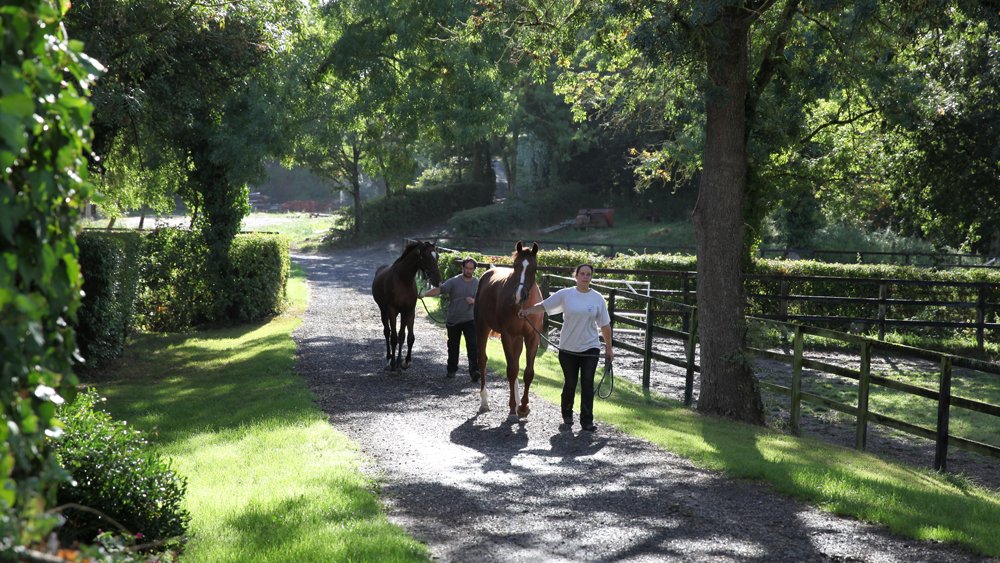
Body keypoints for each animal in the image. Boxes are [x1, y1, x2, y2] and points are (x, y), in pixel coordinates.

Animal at [372, 240, 442, 372]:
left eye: (437, 256)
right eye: (425, 256)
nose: (437, 281)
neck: (403, 280)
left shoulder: (408, 311)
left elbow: (406, 337)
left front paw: (404, 362)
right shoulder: (392, 310)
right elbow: (394, 337)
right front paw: (393, 363)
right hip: (383, 310)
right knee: (387, 332)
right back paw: (388, 359)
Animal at [472, 240, 544, 420]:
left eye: (534, 268)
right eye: (515, 266)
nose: (519, 295)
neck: (524, 307)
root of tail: (489, 271)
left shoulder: (532, 337)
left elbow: (528, 372)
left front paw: (523, 407)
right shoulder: (507, 335)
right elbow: (511, 370)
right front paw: (512, 407)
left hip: (518, 338)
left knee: (516, 363)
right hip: (482, 327)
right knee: (482, 360)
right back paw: (484, 402)